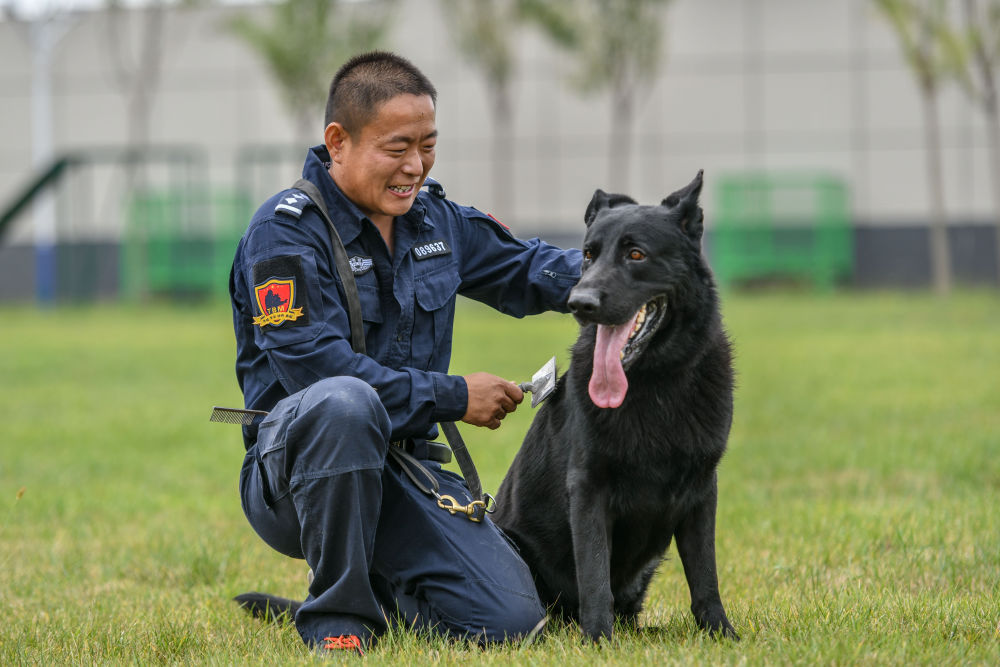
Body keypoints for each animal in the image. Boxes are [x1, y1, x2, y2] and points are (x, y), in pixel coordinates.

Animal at [492, 171, 736, 640]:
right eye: (588, 255)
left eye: (636, 254)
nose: (580, 303)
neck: (654, 383)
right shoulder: (588, 488)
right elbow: (594, 574)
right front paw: (599, 640)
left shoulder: (703, 489)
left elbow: (705, 575)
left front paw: (721, 634)